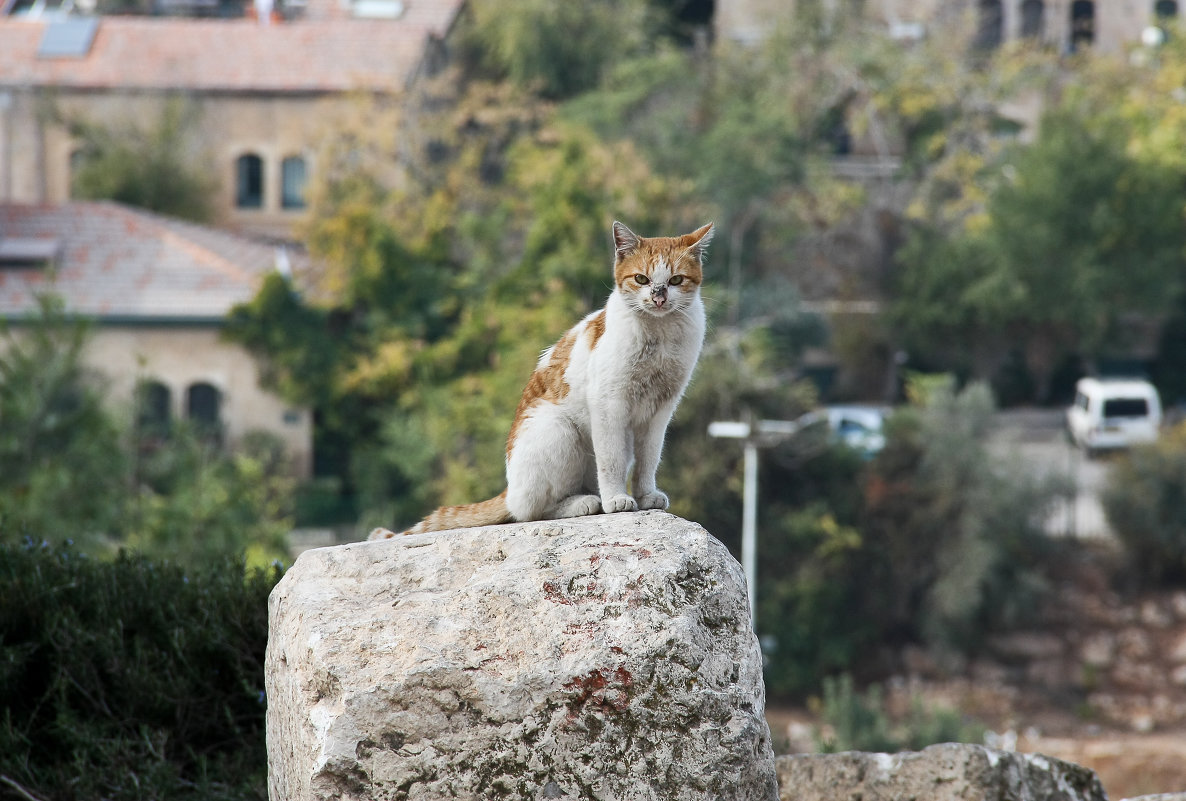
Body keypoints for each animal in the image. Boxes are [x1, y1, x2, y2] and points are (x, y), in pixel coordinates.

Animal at [367, 220, 711, 538]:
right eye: (641, 279)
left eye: (675, 280)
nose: (658, 298)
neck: (659, 335)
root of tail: (509, 488)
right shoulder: (609, 404)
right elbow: (610, 460)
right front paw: (617, 499)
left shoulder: (660, 411)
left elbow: (649, 459)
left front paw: (645, 495)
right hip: (559, 430)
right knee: (530, 510)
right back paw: (586, 502)